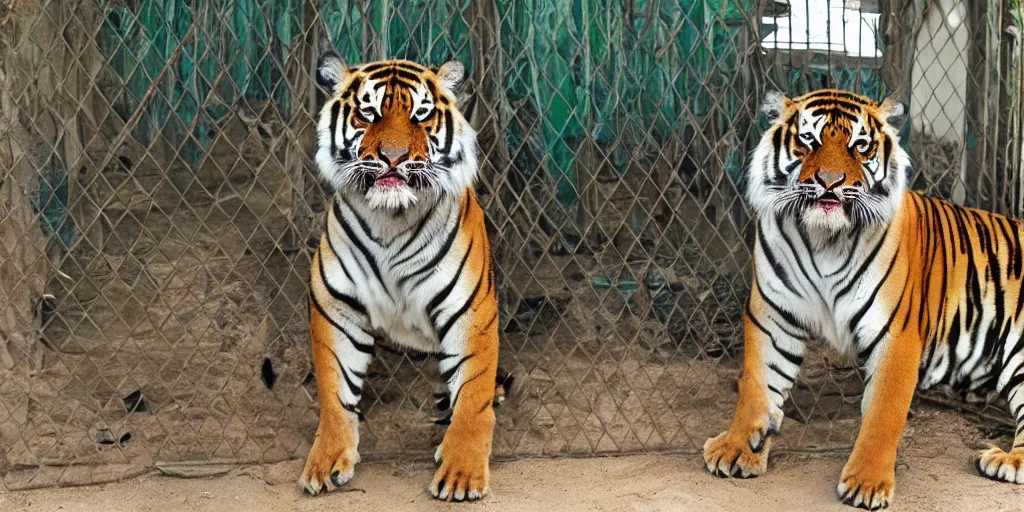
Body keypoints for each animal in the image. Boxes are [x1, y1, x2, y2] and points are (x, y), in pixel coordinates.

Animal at [299, 54, 501, 501]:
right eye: (368, 113)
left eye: (420, 115)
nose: (393, 156)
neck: (391, 218)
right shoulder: (335, 306)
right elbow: (334, 388)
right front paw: (326, 460)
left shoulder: (469, 309)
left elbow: (474, 394)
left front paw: (462, 474)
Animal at [704, 88, 1024, 507]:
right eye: (808, 139)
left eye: (859, 145)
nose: (829, 181)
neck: (823, 239)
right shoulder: (773, 316)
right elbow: (758, 385)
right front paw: (736, 447)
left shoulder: (896, 333)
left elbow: (883, 413)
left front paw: (867, 483)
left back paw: (1006, 460)